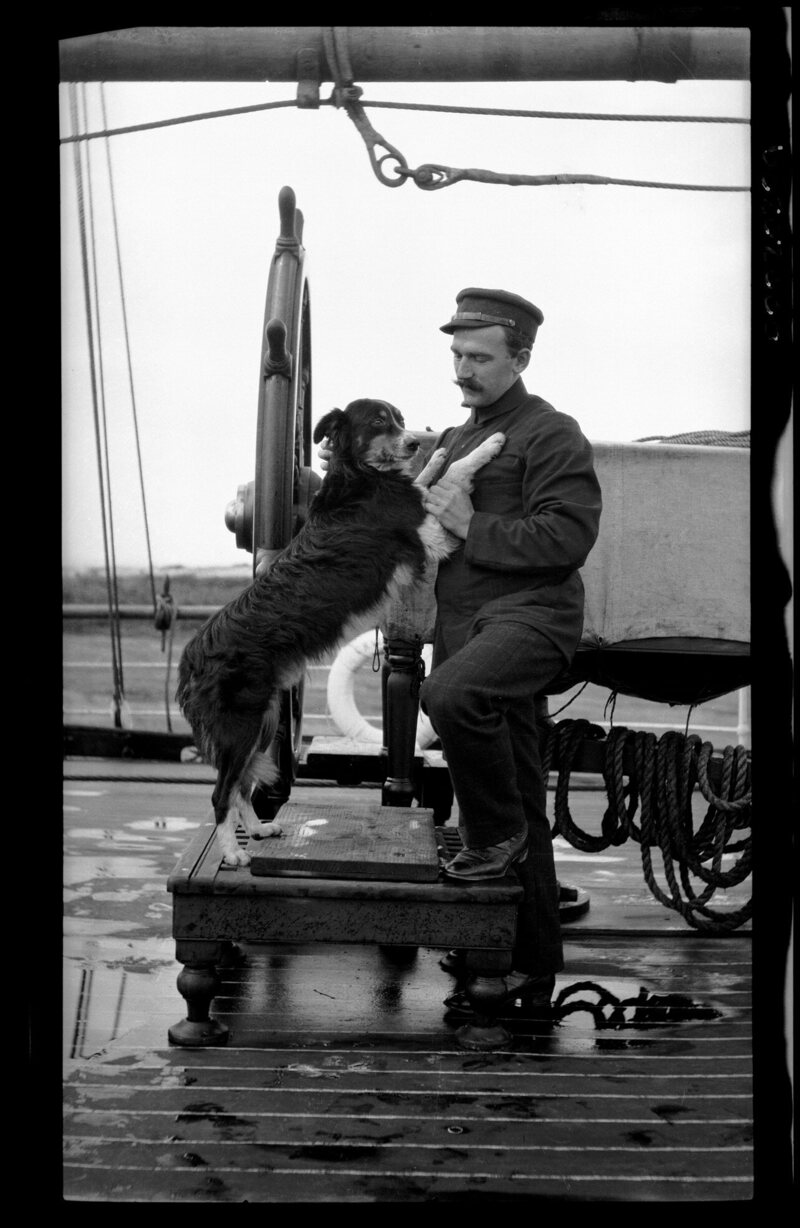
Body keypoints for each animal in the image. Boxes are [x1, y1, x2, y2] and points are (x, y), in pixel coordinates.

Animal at [178, 400, 503, 864]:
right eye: (379, 421)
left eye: (401, 420)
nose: (412, 442)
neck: (360, 473)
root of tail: (193, 657)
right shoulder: (428, 536)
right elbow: (452, 474)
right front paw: (489, 444)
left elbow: (429, 477)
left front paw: (437, 454)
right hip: (241, 725)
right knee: (222, 793)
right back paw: (234, 852)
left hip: (265, 720)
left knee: (240, 785)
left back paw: (257, 829)